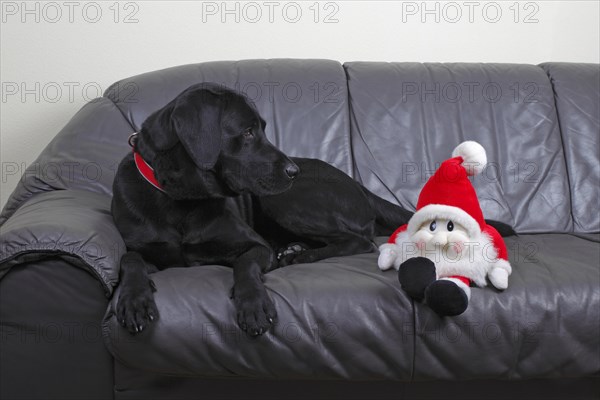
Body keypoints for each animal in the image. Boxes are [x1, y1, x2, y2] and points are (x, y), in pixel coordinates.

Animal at [109, 83, 510, 336]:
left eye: (261, 128)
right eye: (248, 132)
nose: (292, 171)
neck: (181, 200)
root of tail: (358, 185)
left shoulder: (254, 245)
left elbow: (245, 264)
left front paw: (253, 303)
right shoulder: (142, 248)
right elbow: (129, 258)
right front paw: (132, 299)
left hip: (284, 201)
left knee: (360, 239)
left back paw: (298, 256)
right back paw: (294, 249)